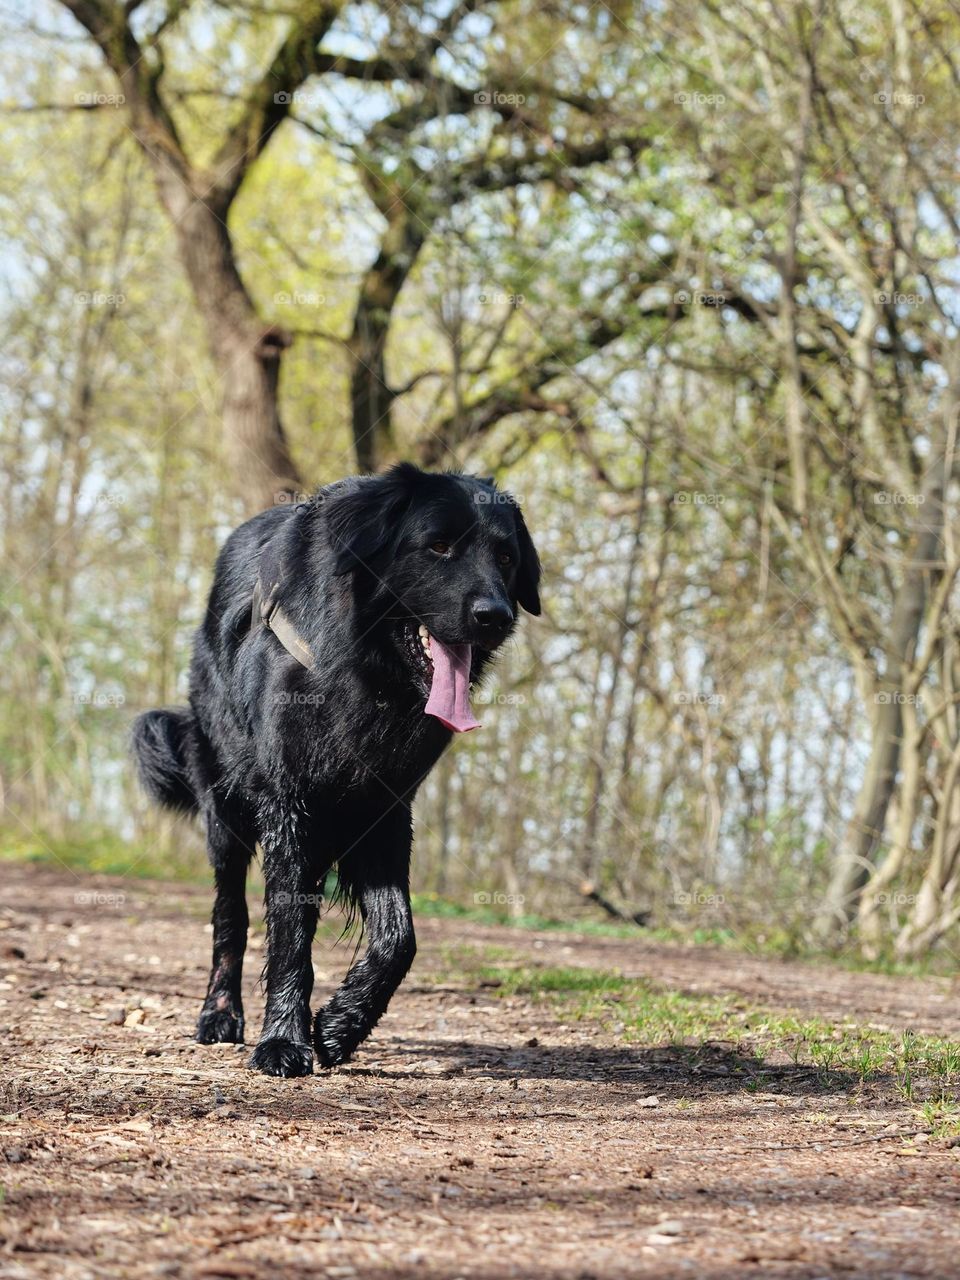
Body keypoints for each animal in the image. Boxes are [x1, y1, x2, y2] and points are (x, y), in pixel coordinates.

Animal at [131, 465, 542, 1075]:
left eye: (507, 557)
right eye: (438, 546)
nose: (496, 616)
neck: (367, 677)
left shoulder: (385, 809)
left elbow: (398, 937)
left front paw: (339, 1027)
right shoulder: (289, 801)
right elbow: (290, 933)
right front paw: (283, 1040)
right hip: (224, 809)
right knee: (230, 916)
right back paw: (221, 1014)